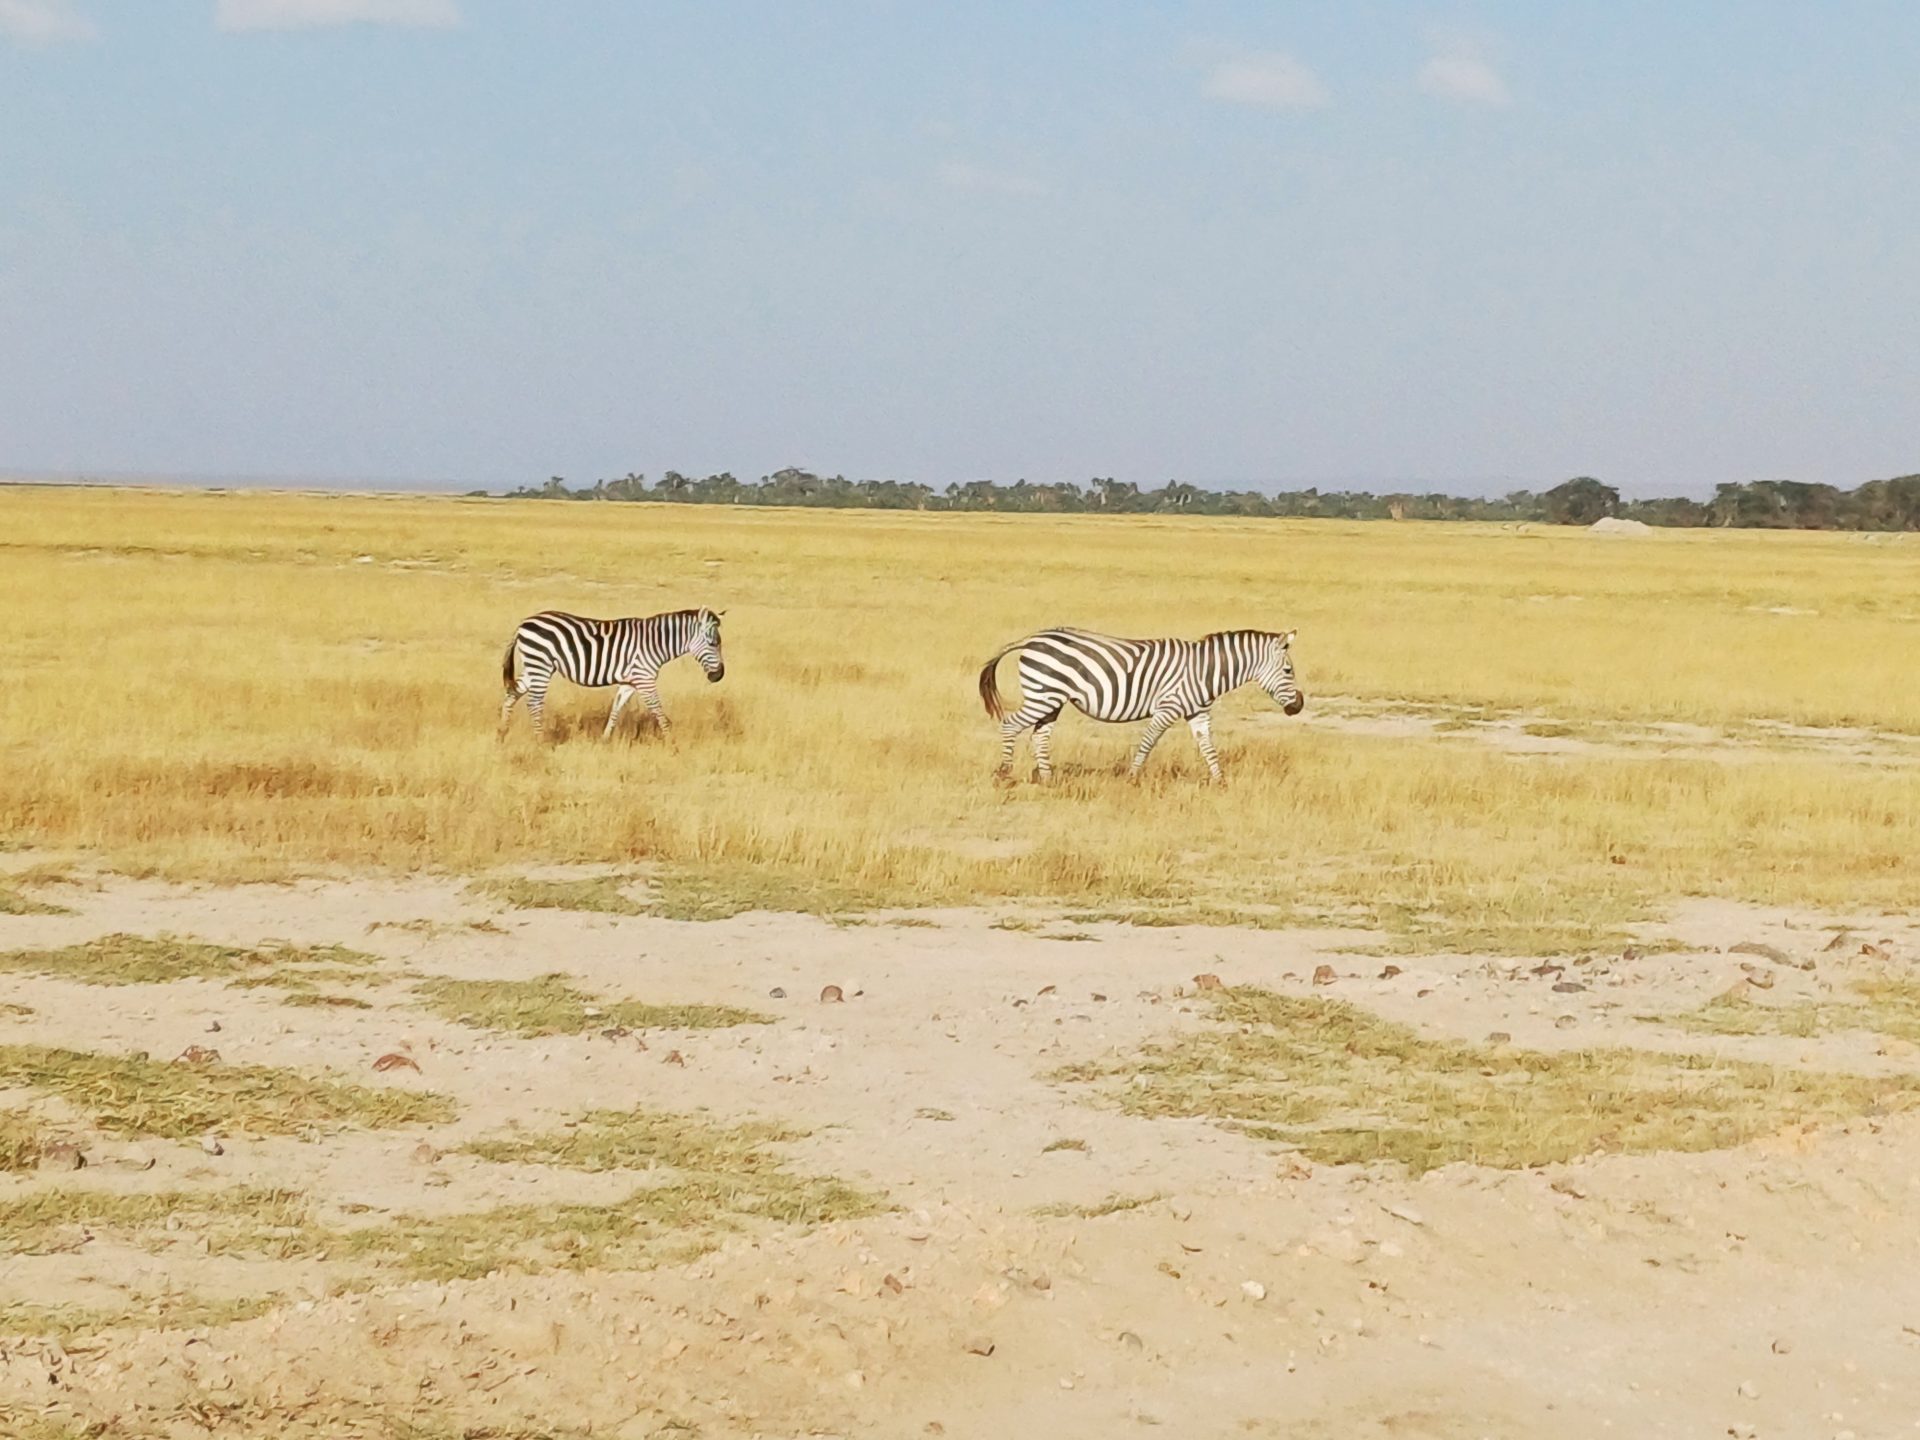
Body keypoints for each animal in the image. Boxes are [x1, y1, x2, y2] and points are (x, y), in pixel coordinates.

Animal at [499, 608, 725, 739]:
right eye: (713, 643)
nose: (719, 676)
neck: (654, 643)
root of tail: (523, 623)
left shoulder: (630, 681)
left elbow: (616, 707)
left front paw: (605, 739)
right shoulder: (644, 678)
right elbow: (657, 709)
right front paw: (672, 741)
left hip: (534, 666)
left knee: (512, 693)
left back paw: (502, 734)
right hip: (540, 665)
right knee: (533, 702)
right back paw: (540, 740)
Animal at [977, 626, 1304, 783]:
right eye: (1289, 671)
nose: (1298, 707)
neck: (1203, 671)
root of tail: (1032, 639)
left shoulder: (1198, 712)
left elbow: (1208, 747)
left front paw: (1220, 781)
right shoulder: (1168, 708)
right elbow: (1148, 742)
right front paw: (1132, 777)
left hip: (1050, 699)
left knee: (1040, 735)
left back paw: (1047, 778)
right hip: (1043, 695)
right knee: (1011, 724)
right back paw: (1005, 773)